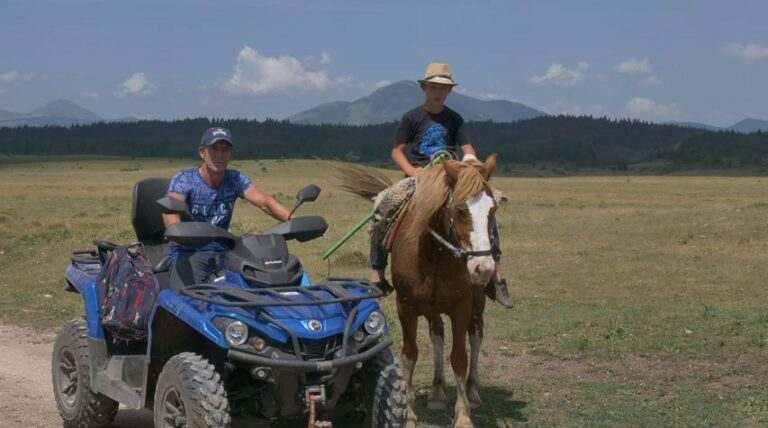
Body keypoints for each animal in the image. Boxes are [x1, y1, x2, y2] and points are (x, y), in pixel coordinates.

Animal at [338, 155, 498, 428]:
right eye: (460, 210)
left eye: (492, 210)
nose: (483, 267)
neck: (435, 253)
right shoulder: (406, 307)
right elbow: (410, 355)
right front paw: (409, 415)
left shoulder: (461, 306)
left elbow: (459, 357)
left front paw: (463, 416)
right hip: (431, 307)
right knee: (437, 335)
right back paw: (436, 392)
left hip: (476, 305)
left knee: (476, 335)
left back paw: (473, 391)